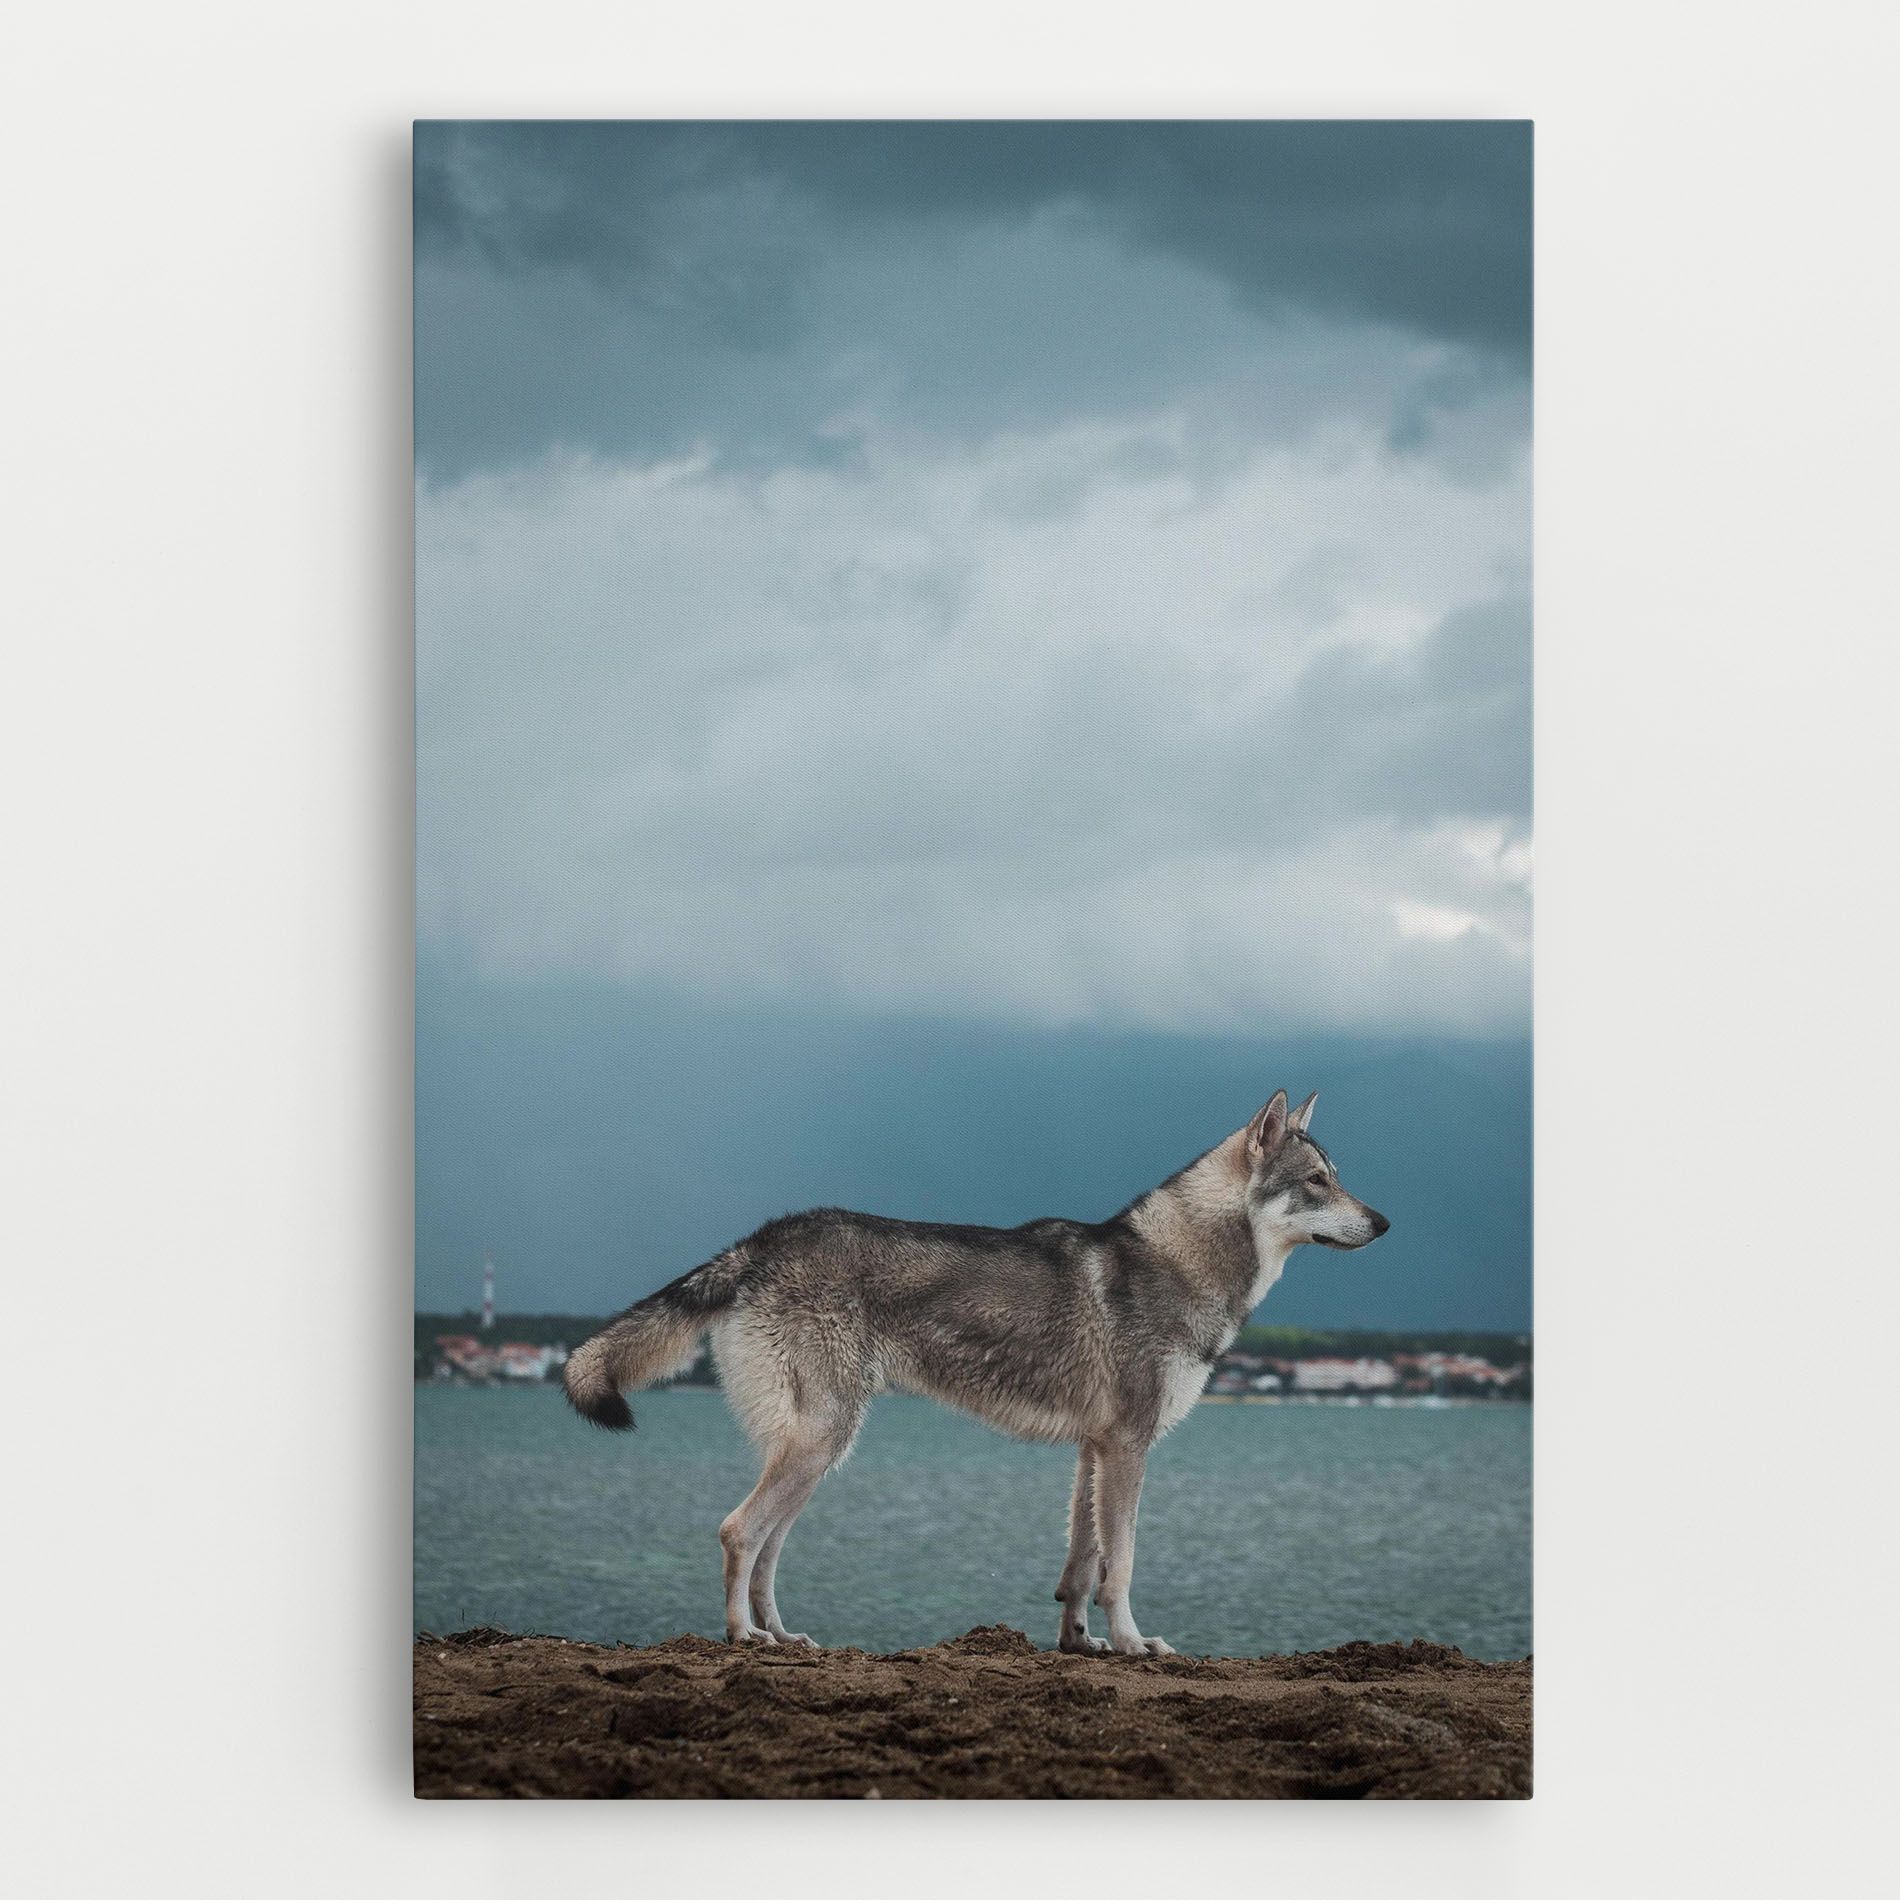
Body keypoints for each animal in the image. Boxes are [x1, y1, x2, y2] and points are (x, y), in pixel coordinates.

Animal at [564, 1089, 1388, 1655]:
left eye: (1338, 1177)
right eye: (1317, 1181)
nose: (1384, 1222)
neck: (1183, 1264)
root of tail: (763, 1238)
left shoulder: (1093, 1451)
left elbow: (1081, 1565)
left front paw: (1080, 1644)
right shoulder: (1128, 1448)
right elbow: (1120, 1564)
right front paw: (1132, 1644)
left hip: (819, 1455)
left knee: (765, 1548)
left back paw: (785, 1636)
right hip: (820, 1445)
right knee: (738, 1532)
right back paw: (745, 1638)